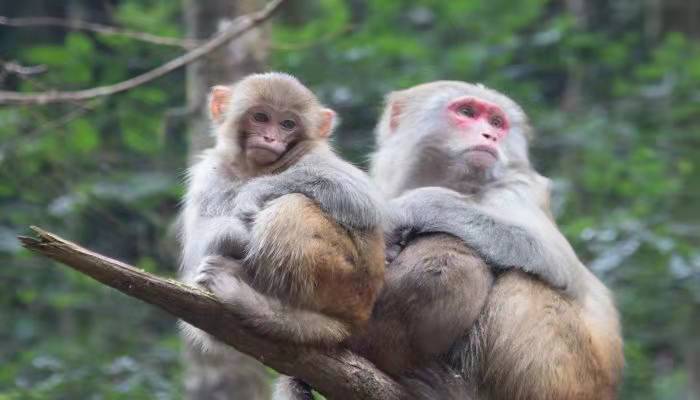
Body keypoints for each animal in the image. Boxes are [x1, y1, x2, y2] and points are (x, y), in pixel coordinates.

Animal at [178, 72, 386, 354]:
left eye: (287, 124)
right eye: (260, 117)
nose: (270, 138)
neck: (256, 169)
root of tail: (357, 316)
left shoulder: (315, 154)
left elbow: (360, 196)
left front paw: (252, 193)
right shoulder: (212, 171)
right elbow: (203, 235)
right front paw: (231, 233)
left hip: (344, 280)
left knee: (291, 206)